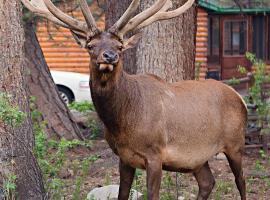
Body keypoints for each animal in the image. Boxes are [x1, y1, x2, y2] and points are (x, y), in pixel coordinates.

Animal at [22, 0, 247, 199]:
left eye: (120, 46)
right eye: (91, 45)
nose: (110, 56)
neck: (122, 123)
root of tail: (240, 98)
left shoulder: (155, 154)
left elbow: (152, 195)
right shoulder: (124, 157)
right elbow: (122, 194)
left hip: (235, 143)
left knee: (241, 181)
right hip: (198, 158)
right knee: (208, 182)